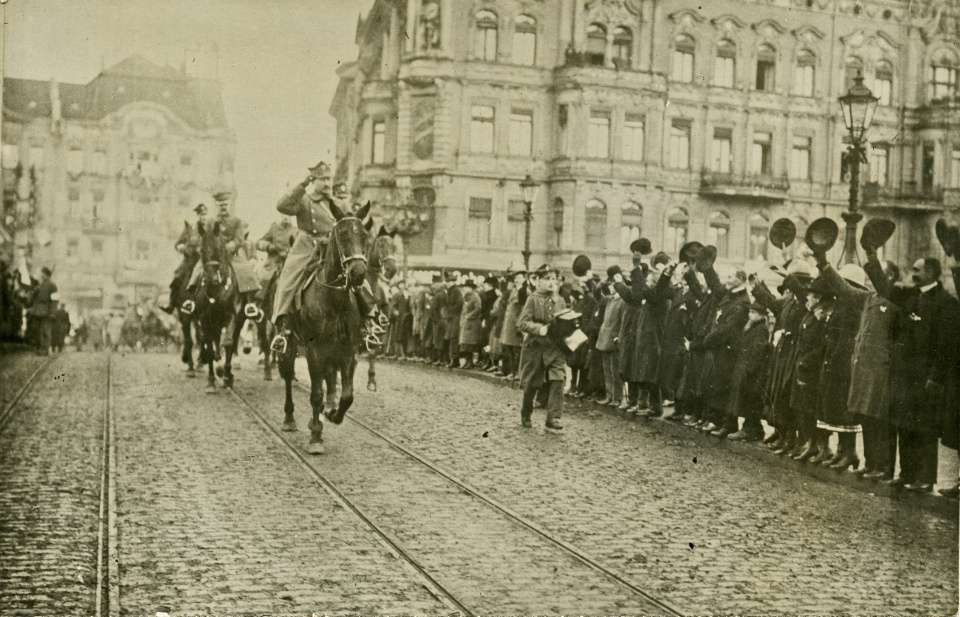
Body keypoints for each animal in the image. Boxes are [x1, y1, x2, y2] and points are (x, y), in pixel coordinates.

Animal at [196, 221, 244, 392]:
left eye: (218, 249)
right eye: (201, 250)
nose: (212, 278)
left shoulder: (231, 316)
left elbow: (228, 343)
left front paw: (227, 374)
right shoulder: (205, 320)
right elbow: (209, 348)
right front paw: (211, 381)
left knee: (232, 342)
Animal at [278, 201, 372, 452]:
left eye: (365, 236)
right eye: (342, 234)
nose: (358, 273)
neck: (334, 299)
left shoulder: (347, 351)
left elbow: (346, 396)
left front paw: (332, 414)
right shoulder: (314, 351)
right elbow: (316, 394)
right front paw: (316, 438)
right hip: (291, 344)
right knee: (289, 377)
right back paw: (290, 419)